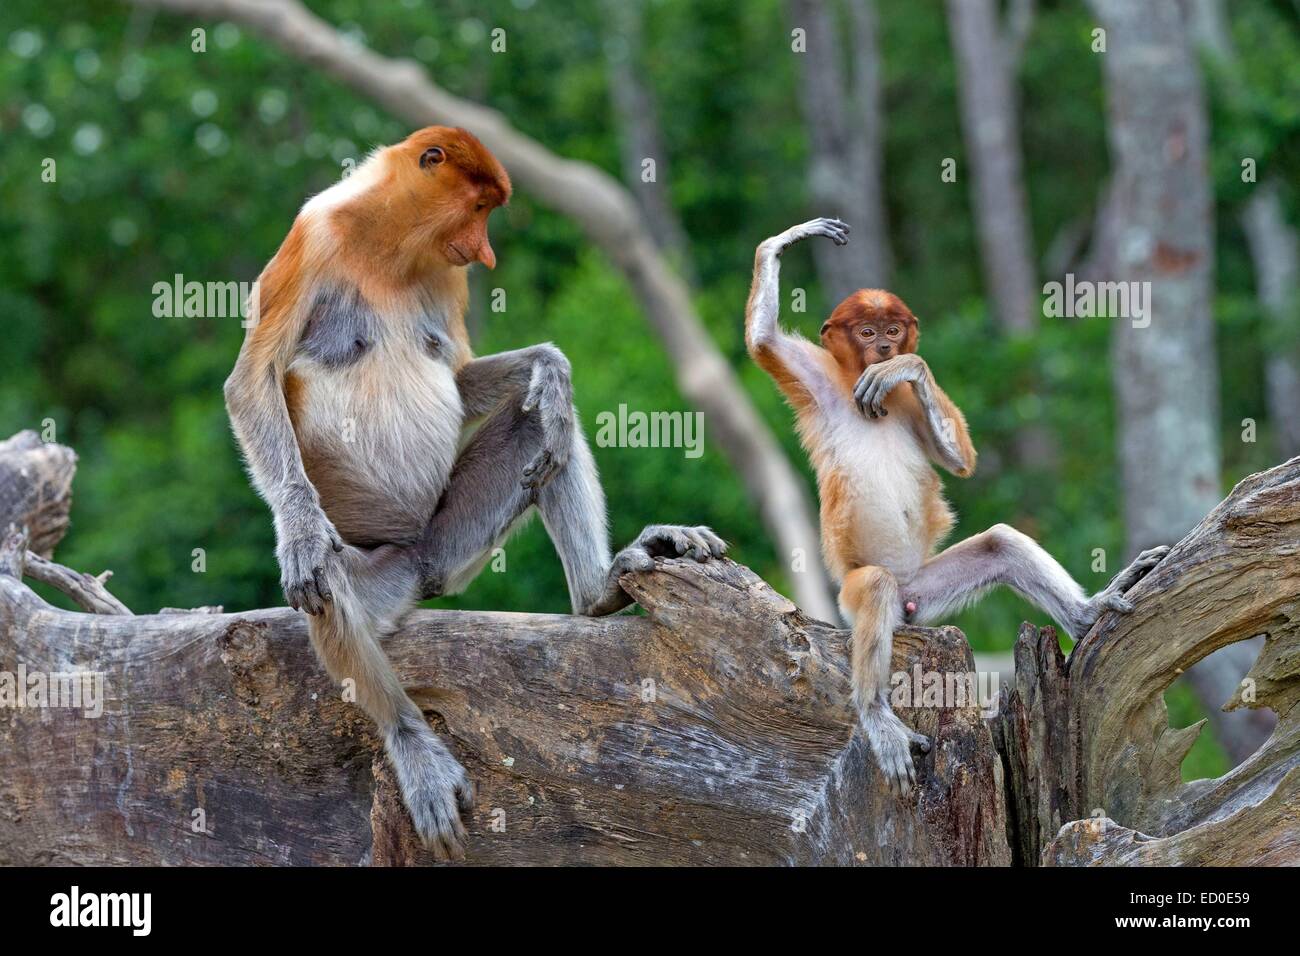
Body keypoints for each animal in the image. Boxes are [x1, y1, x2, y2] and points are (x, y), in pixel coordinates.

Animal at [224, 126, 725, 859]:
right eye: (479, 207)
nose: (484, 251)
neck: (389, 242)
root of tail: (412, 559)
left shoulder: (445, 273)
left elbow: (461, 380)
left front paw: (552, 369)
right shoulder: (311, 238)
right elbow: (252, 378)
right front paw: (300, 530)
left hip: (448, 539)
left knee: (543, 435)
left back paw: (599, 589)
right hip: (379, 570)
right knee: (334, 586)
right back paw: (412, 744)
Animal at [745, 217, 1168, 797]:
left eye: (891, 329)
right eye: (866, 332)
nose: (884, 348)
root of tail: (908, 596)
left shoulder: (902, 401)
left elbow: (960, 459)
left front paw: (906, 367)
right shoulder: (817, 380)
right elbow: (763, 342)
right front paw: (788, 239)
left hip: (927, 591)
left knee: (1000, 544)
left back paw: (1087, 615)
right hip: (853, 592)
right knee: (873, 587)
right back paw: (878, 717)